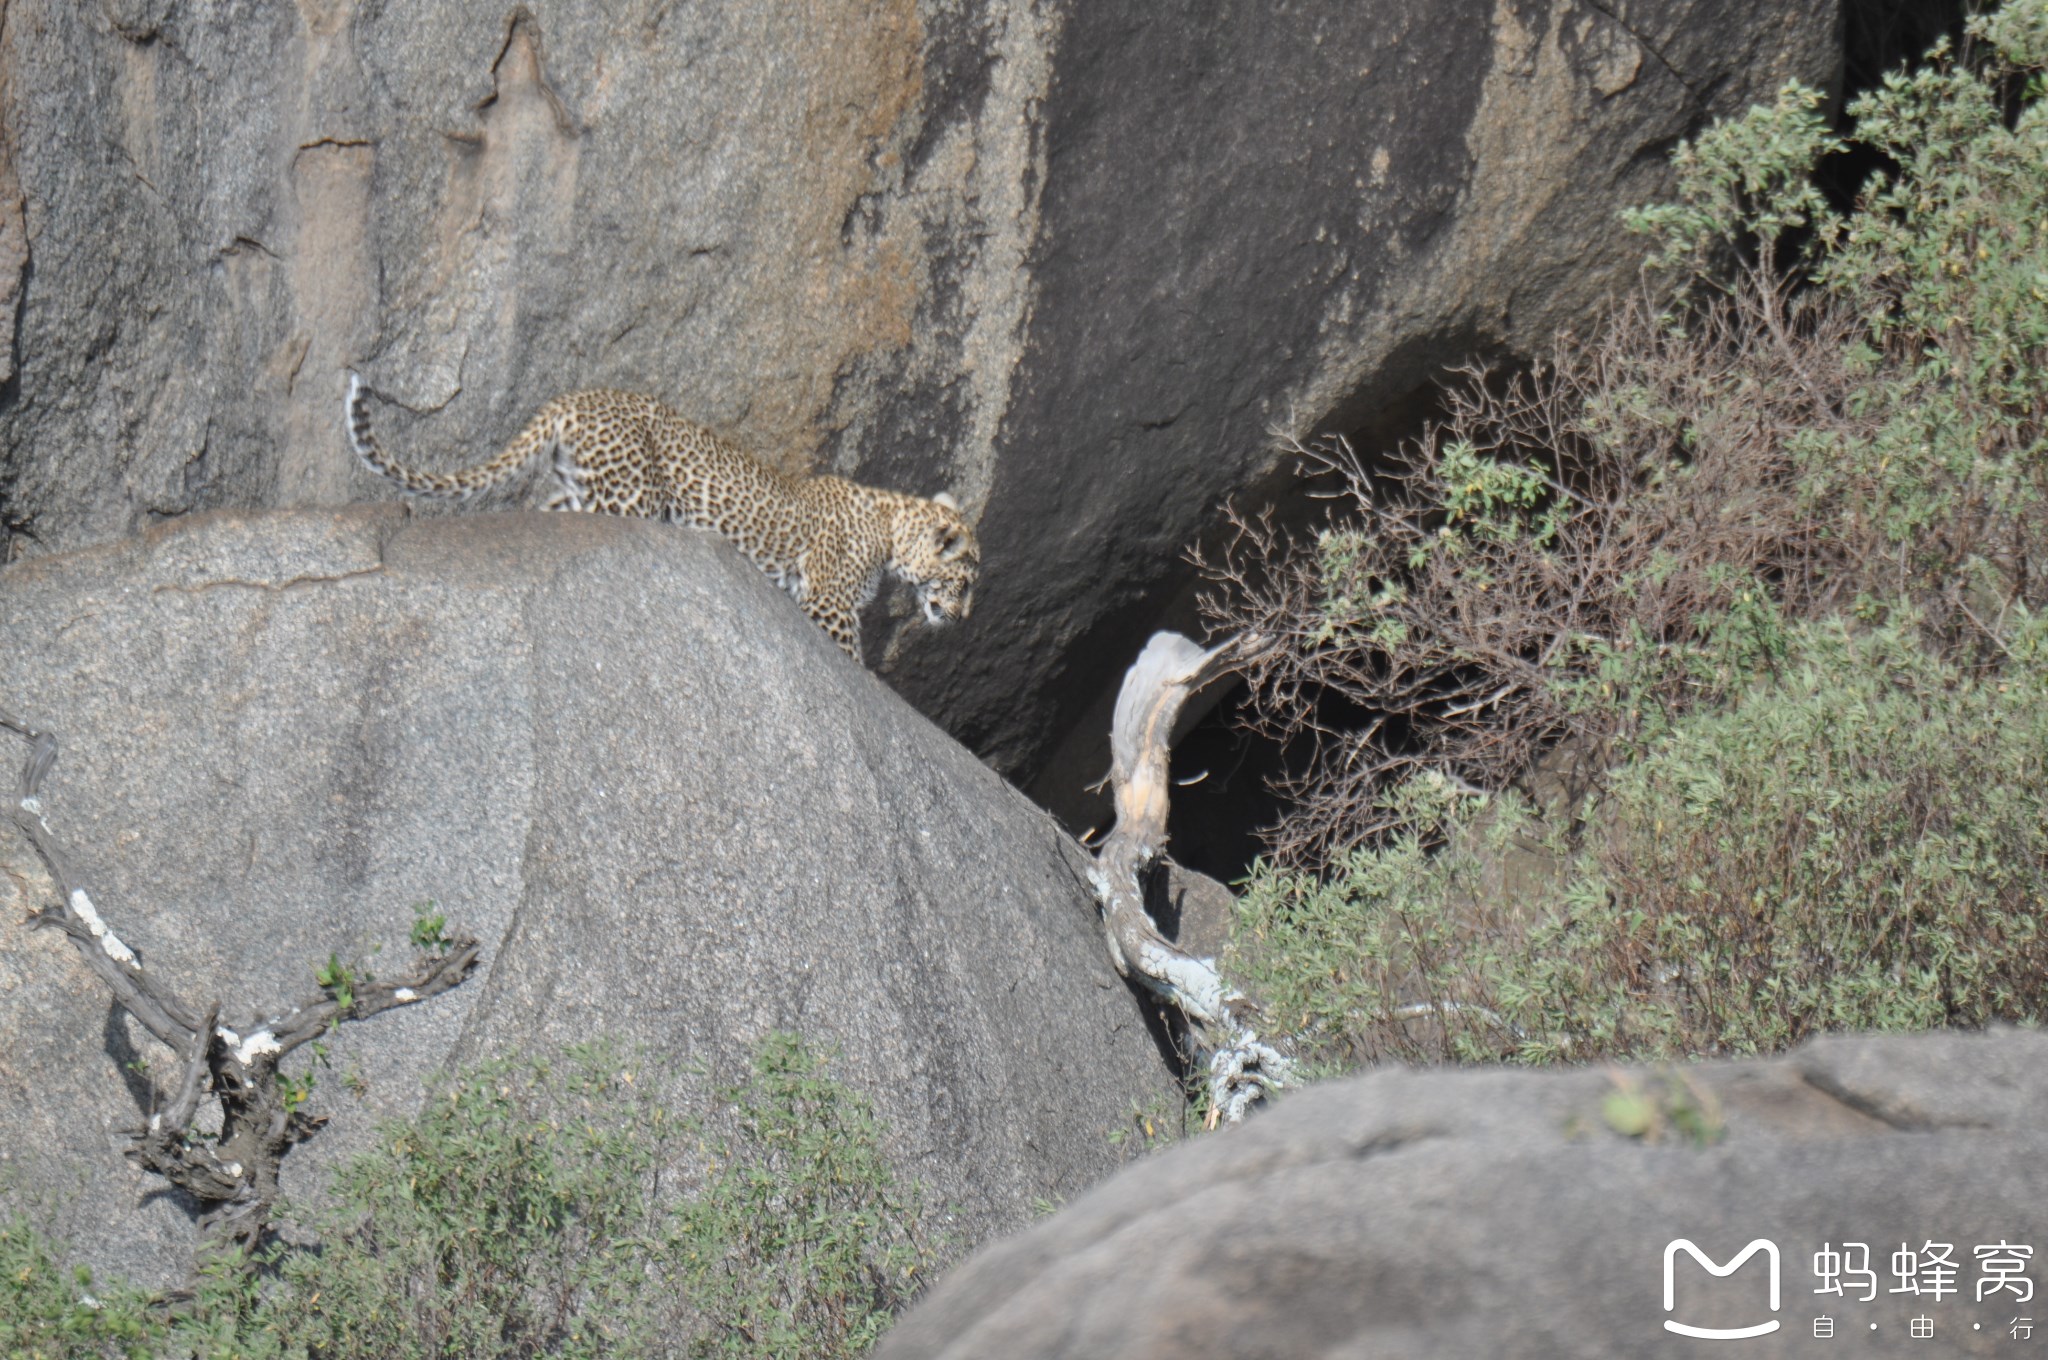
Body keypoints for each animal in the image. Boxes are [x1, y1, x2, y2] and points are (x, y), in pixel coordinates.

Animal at [346, 372, 983, 659]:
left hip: (573, 489)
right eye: (966, 580)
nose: (964, 618)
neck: (892, 528)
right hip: (628, 496)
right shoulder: (829, 604)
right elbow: (849, 659)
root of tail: (575, 398)